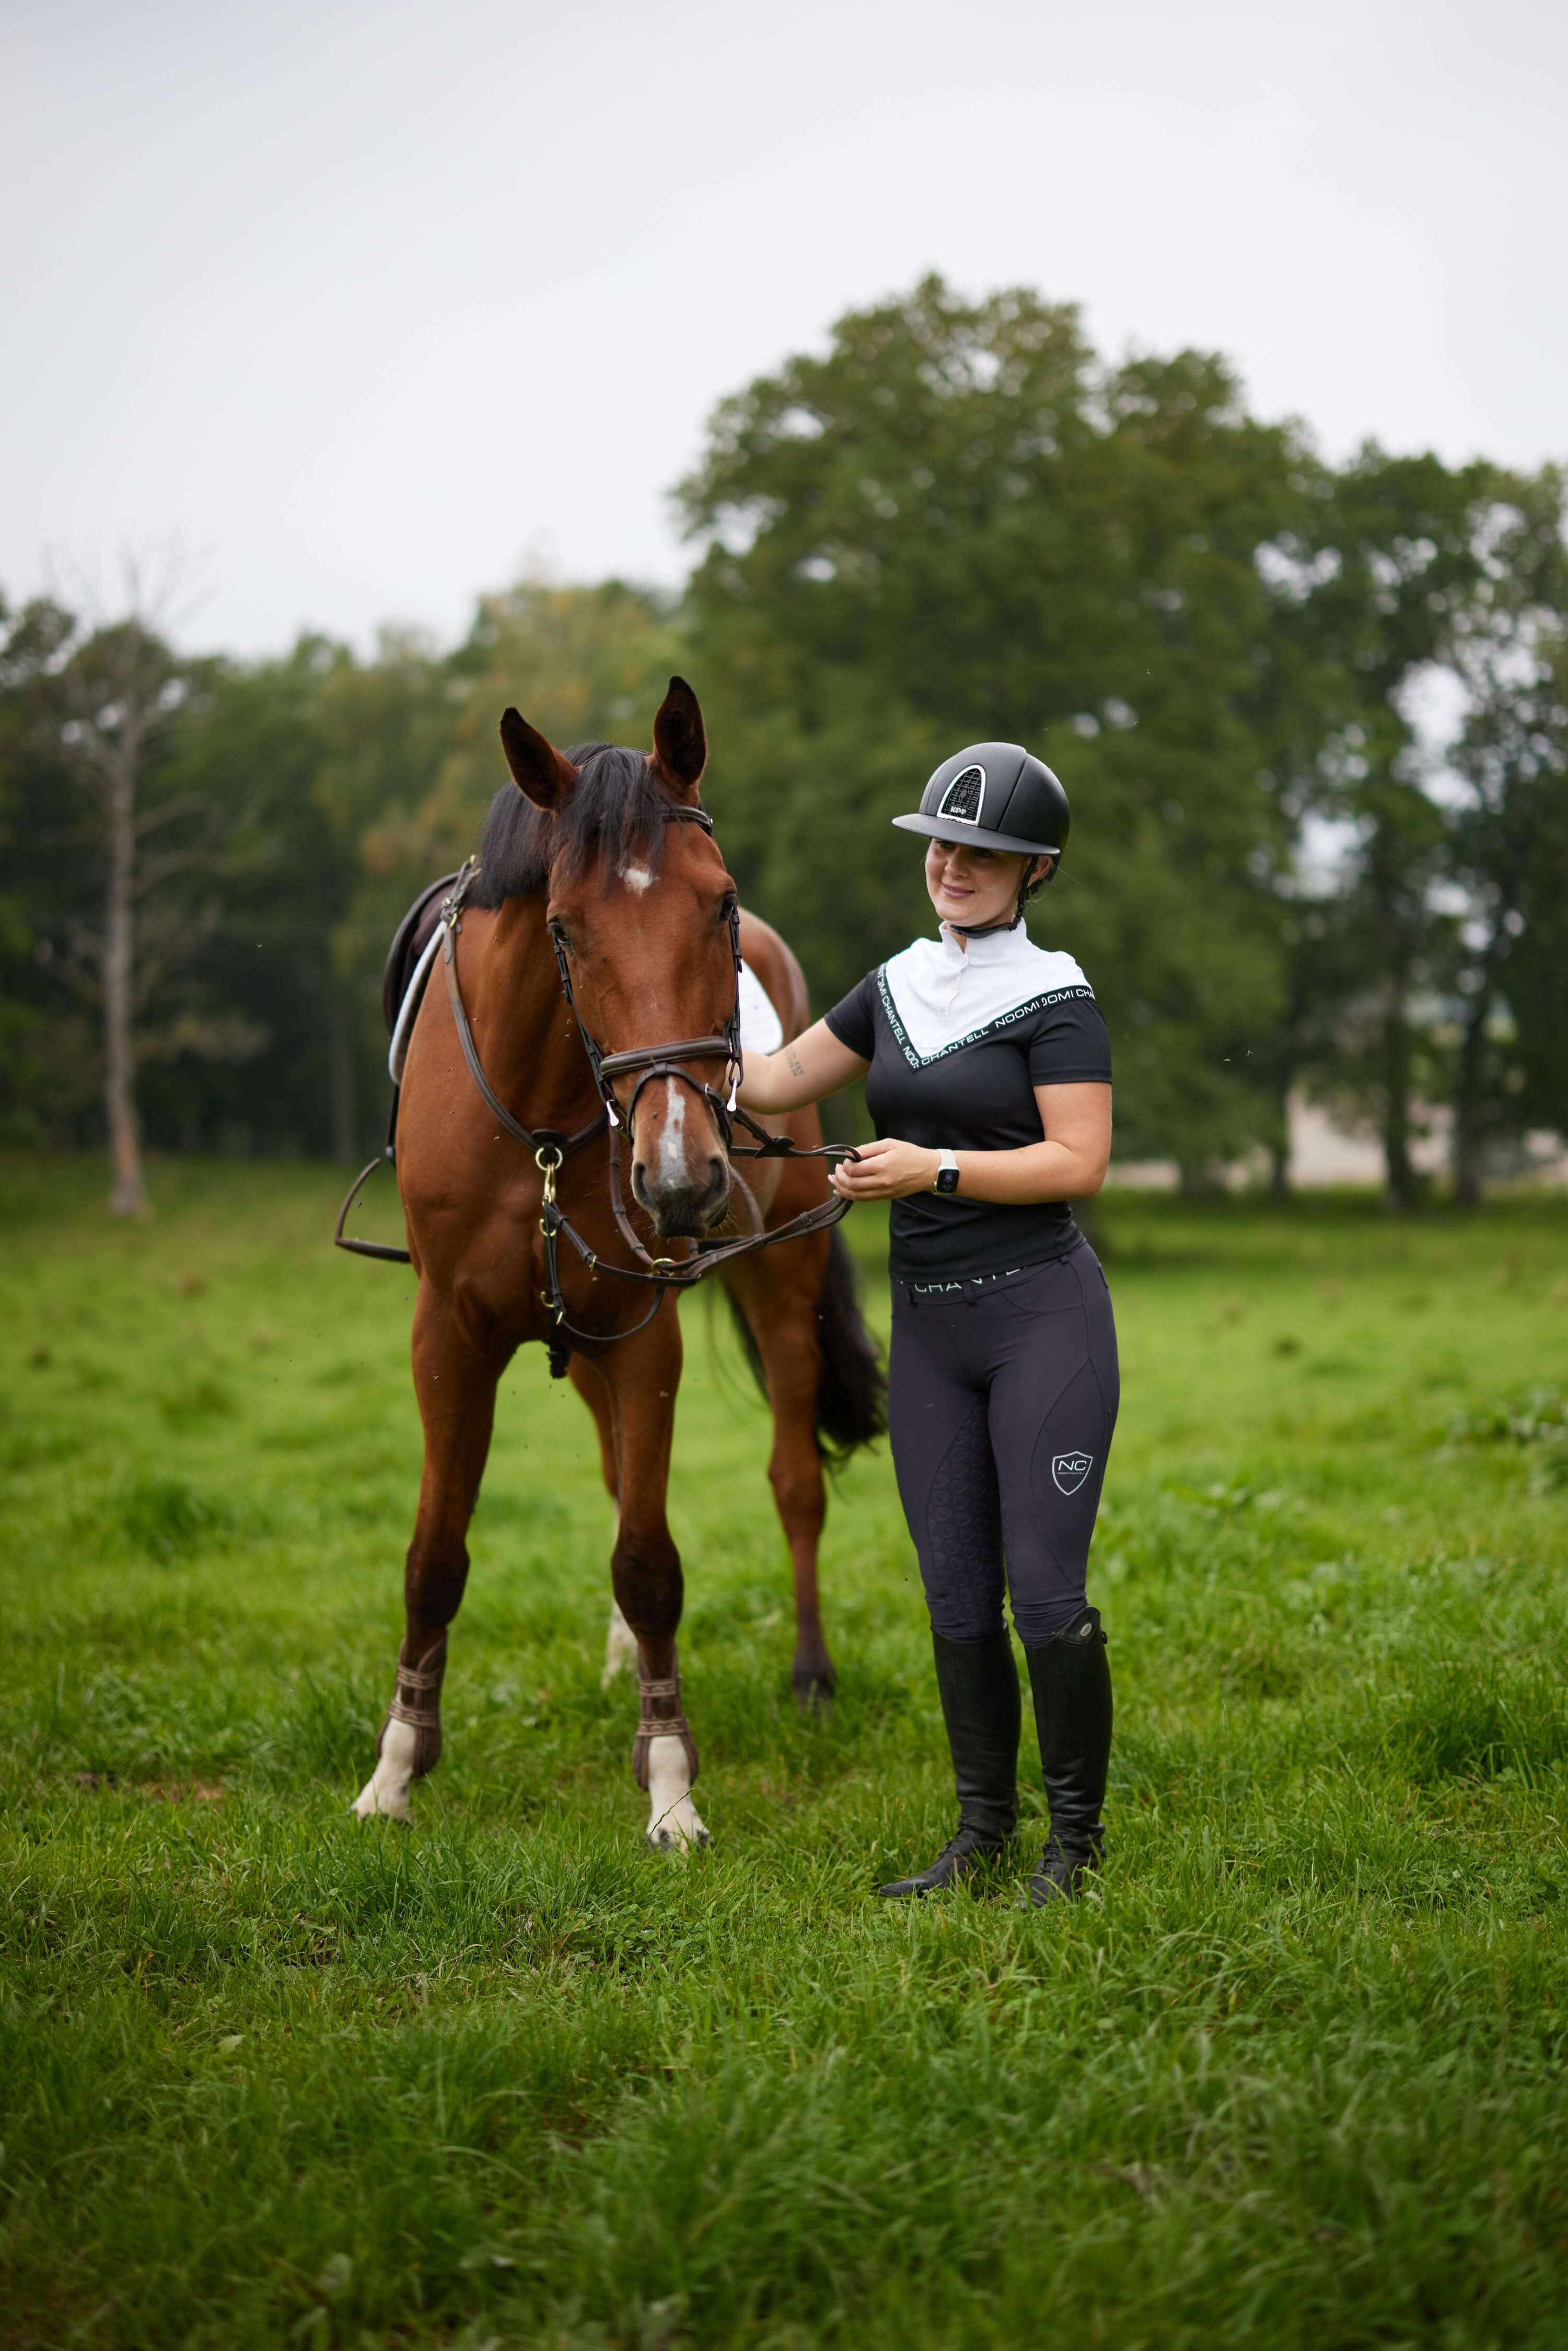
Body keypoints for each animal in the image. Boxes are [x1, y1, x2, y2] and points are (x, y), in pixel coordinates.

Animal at [350, 672, 888, 1843]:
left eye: (719, 905)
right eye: (564, 926)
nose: (681, 1175)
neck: (546, 1129)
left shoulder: (649, 1338)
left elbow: (649, 1561)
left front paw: (671, 1783)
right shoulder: (447, 1336)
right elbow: (434, 1554)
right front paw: (398, 1767)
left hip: (776, 1287)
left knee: (794, 1482)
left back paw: (810, 1675)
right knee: (609, 1474)